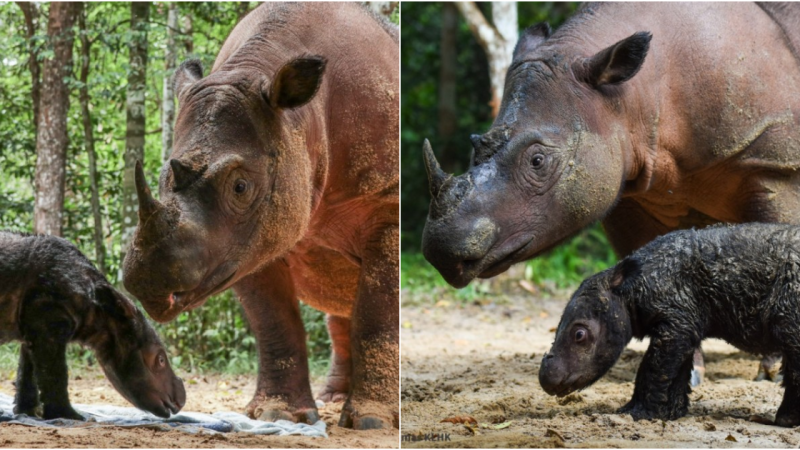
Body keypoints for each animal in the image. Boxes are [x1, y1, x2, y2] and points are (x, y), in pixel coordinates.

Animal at [0, 230, 184, 420]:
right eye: (160, 360)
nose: (181, 399)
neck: (98, 313)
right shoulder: (49, 319)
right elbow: (55, 373)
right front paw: (69, 416)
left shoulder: (34, 323)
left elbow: (27, 368)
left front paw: (28, 412)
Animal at [123, 4, 398, 432]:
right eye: (163, 177)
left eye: (240, 187)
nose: (147, 279)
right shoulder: (249, 240)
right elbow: (273, 320)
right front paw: (279, 414)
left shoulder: (388, 205)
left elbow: (379, 311)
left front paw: (372, 422)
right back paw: (332, 398)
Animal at [418, 2, 800, 384]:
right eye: (475, 143)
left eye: (538, 161)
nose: (442, 251)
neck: (631, 98)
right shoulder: (629, 189)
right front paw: (685, 368)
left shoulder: (775, 164)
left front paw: (772, 370)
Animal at [540, 223, 800, 428]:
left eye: (579, 334)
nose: (546, 378)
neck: (633, 286)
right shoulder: (684, 325)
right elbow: (674, 372)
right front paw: (670, 414)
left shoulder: (676, 323)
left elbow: (653, 368)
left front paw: (639, 414)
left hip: (789, 317)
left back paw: (785, 421)